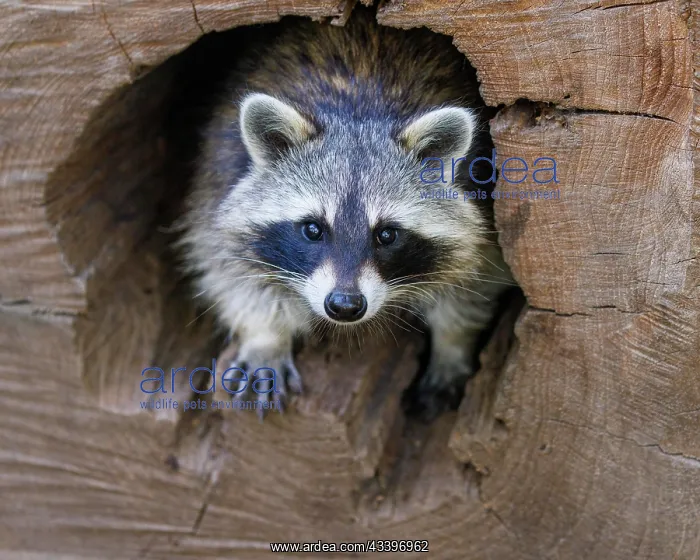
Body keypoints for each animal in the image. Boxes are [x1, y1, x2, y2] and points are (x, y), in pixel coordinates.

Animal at [179, 8, 513, 419]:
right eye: (312, 229)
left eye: (386, 234)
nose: (344, 306)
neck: (358, 112)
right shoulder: (220, 174)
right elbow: (227, 267)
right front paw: (265, 337)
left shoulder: (481, 201)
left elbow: (475, 279)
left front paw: (453, 345)